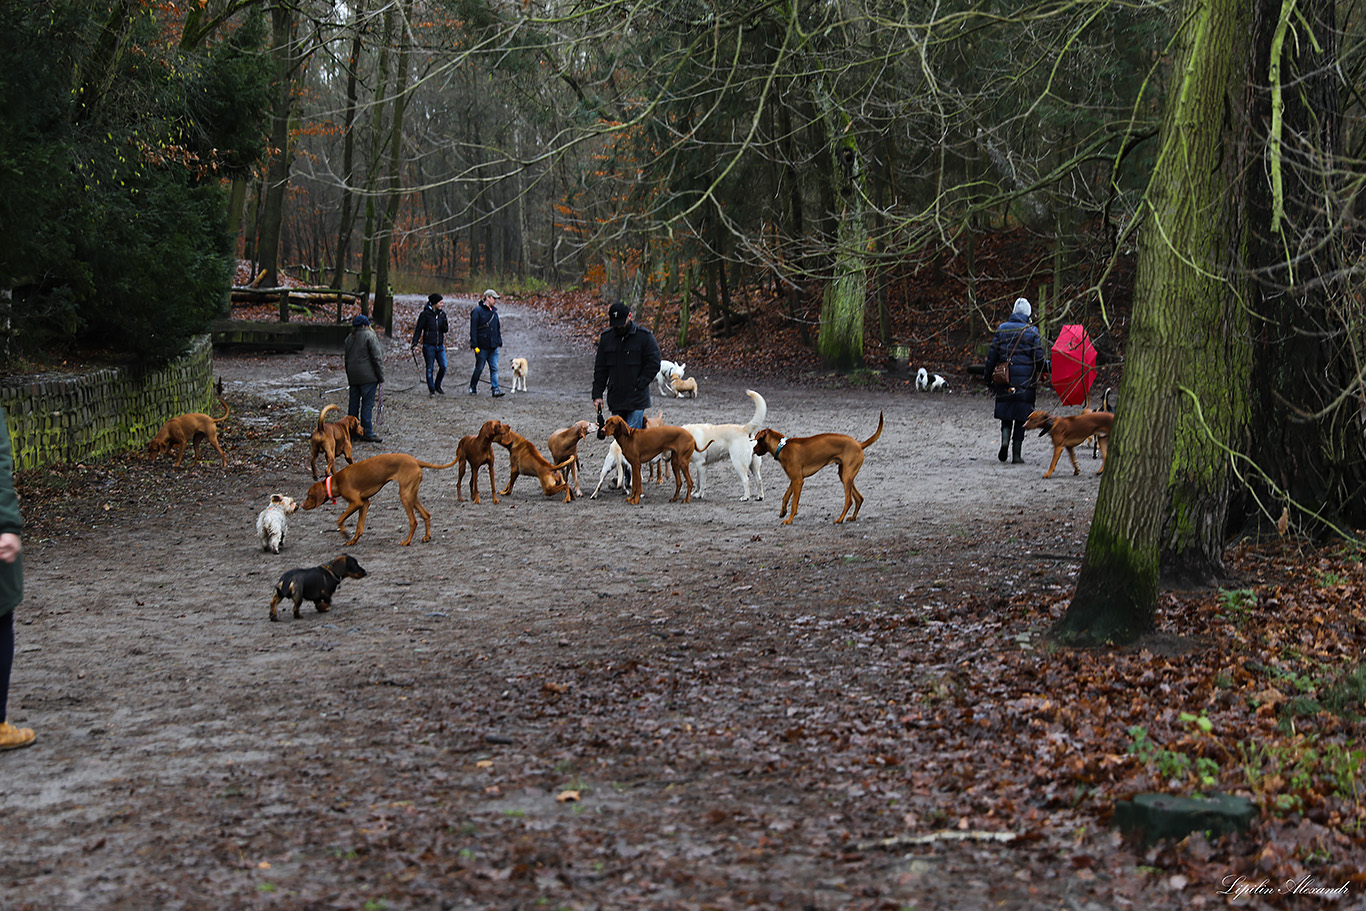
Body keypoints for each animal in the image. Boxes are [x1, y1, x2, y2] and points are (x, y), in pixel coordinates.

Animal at [300, 453, 458, 546]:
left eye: (309, 495)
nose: (301, 505)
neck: (336, 481)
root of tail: (415, 461)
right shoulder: (364, 503)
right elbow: (359, 526)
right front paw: (353, 540)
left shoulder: (356, 502)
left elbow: (340, 519)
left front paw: (345, 534)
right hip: (412, 495)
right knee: (426, 514)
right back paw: (426, 537)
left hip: (405, 495)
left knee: (414, 521)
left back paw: (407, 541)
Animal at [748, 409, 885, 524]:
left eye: (758, 441)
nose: (753, 450)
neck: (782, 447)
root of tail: (859, 444)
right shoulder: (794, 480)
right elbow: (785, 496)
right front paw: (783, 512)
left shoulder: (798, 481)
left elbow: (794, 503)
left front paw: (789, 519)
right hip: (845, 475)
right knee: (859, 498)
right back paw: (853, 517)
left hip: (846, 477)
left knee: (849, 500)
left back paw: (840, 519)